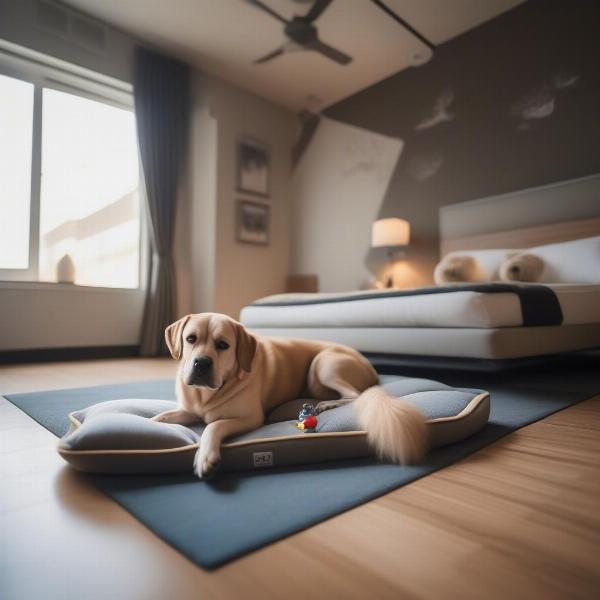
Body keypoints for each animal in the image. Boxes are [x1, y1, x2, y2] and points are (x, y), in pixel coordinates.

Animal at [154, 314, 426, 478]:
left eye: (223, 345)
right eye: (191, 339)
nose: (201, 363)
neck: (206, 395)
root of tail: (371, 368)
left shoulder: (250, 418)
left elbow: (214, 425)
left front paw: (205, 456)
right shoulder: (187, 410)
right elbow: (162, 417)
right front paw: (153, 422)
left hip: (323, 364)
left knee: (356, 395)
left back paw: (327, 404)